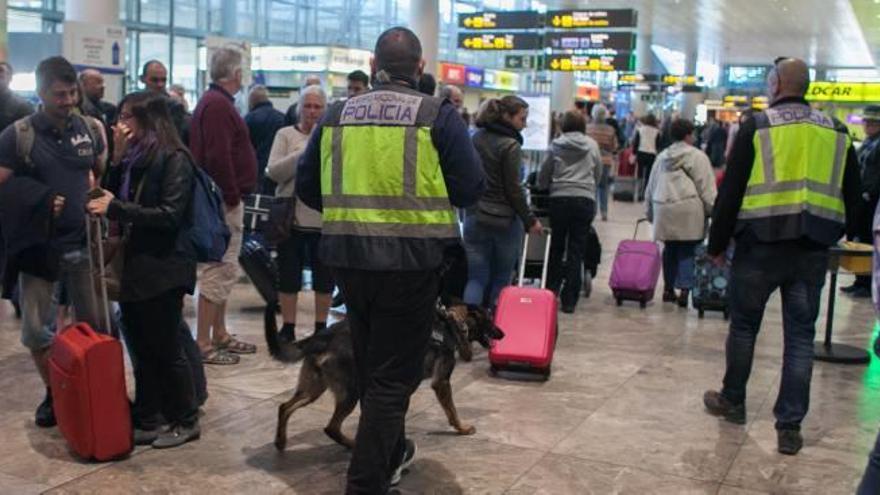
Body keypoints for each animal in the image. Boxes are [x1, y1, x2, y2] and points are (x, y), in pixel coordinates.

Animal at [262, 304, 502, 452]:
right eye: (490, 319)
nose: (503, 333)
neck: (451, 325)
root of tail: (323, 337)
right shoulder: (441, 383)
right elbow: (452, 411)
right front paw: (462, 429)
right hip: (350, 392)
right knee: (330, 427)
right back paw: (351, 444)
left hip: (313, 389)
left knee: (285, 407)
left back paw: (281, 441)